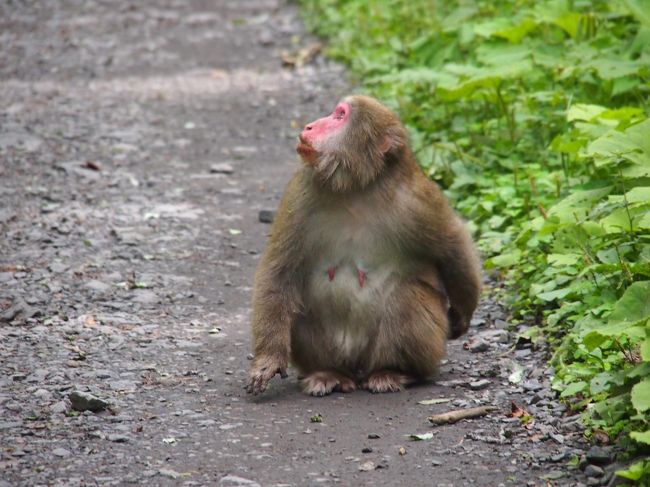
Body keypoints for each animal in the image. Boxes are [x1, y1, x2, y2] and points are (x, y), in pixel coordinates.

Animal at [246, 94, 478, 396]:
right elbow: (279, 272)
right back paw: (329, 373)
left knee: (407, 298)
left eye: (339, 116)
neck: (355, 189)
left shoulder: (418, 202)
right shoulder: (301, 192)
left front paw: (462, 316)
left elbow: (454, 248)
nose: (309, 126)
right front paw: (268, 360)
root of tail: (357, 367)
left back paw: (396, 371)